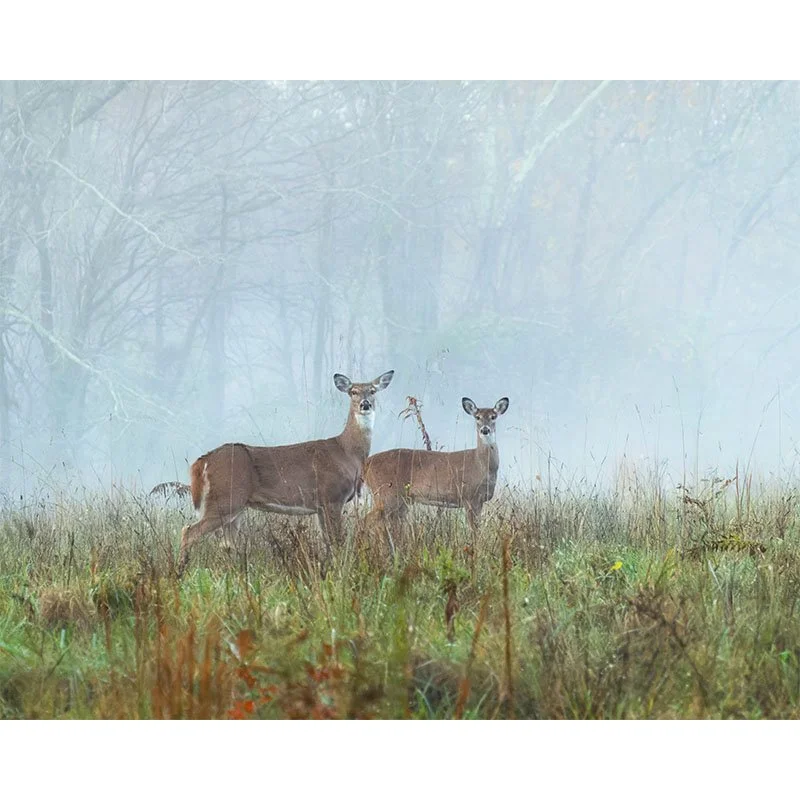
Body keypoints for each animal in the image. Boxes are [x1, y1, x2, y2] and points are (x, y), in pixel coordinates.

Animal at [176, 370, 394, 576]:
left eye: (372, 391)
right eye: (353, 392)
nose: (365, 404)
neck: (347, 452)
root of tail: (203, 461)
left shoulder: (321, 505)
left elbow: (328, 542)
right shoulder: (332, 497)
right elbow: (337, 541)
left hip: (234, 507)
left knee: (227, 545)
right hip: (224, 499)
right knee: (189, 531)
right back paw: (180, 571)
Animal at [363, 396, 509, 553]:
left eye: (493, 416)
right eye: (477, 417)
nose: (485, 430)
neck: (481, 465)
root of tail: (367, 463)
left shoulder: (479, 501)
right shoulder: (470, 497)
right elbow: (474, 531)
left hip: (399, 500)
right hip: (386, 494)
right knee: (369, 520)